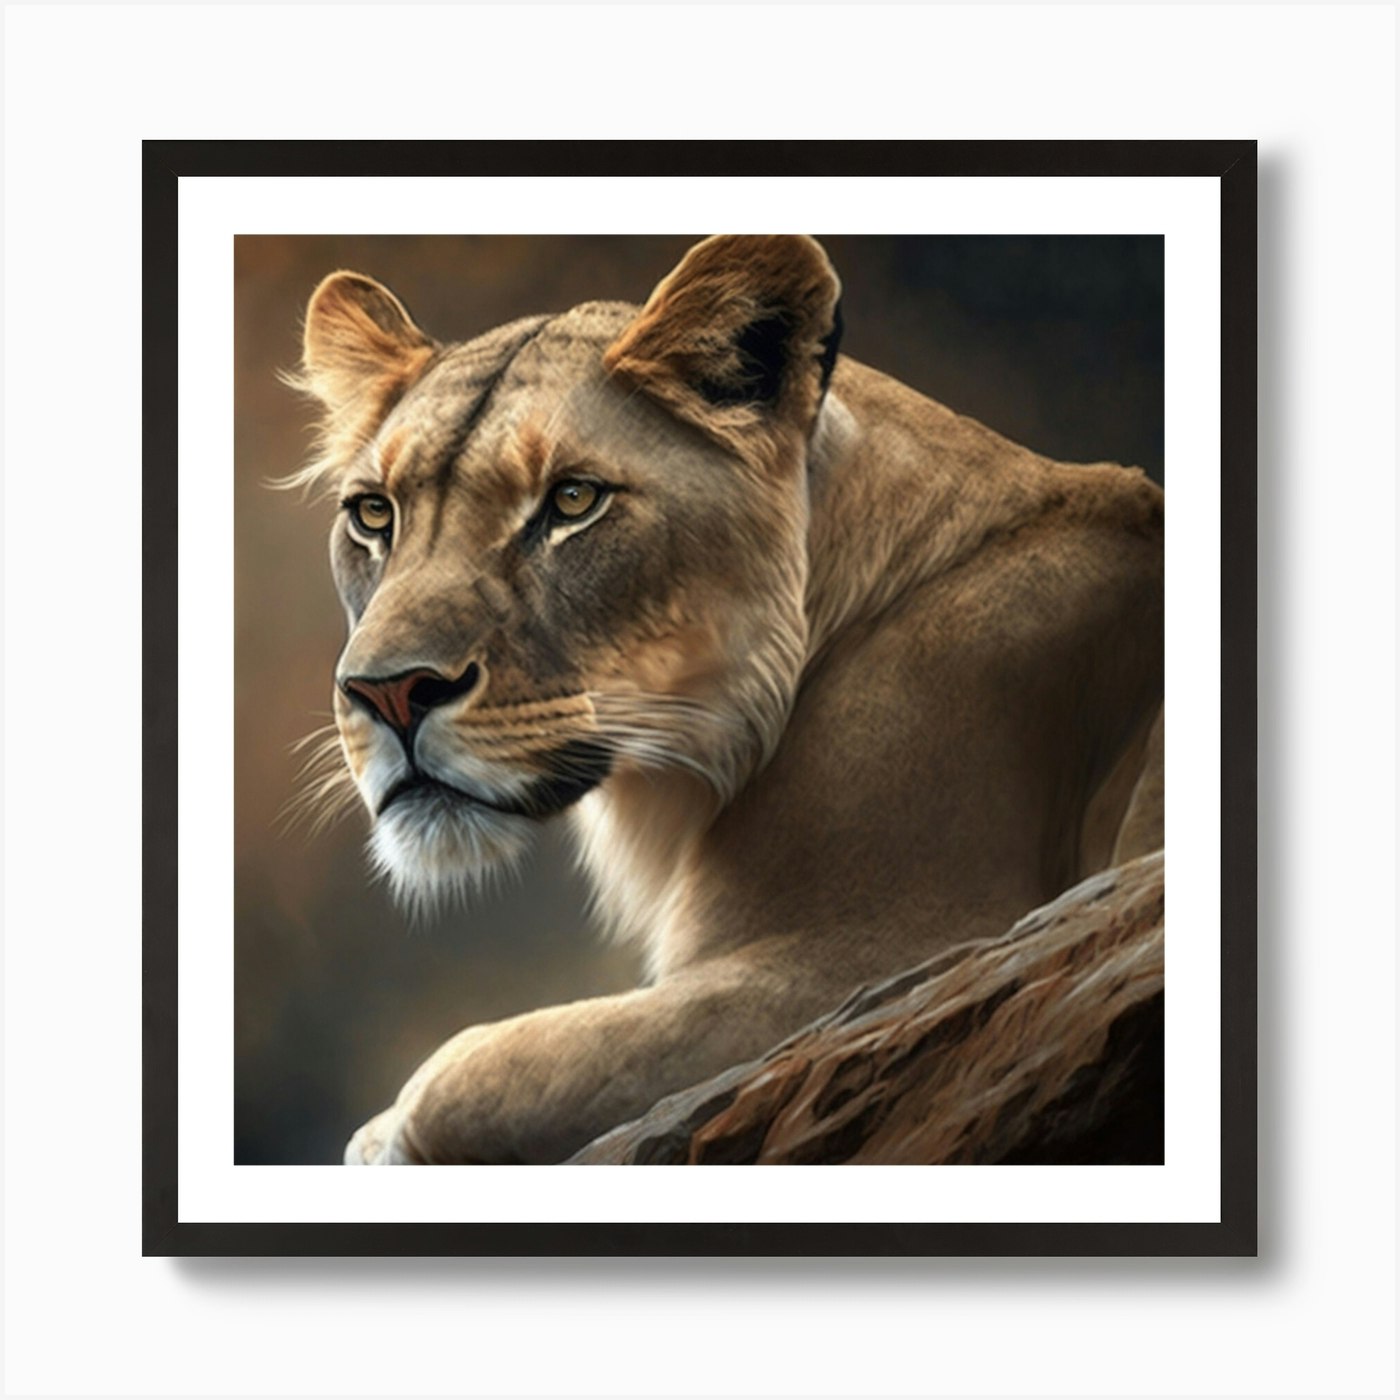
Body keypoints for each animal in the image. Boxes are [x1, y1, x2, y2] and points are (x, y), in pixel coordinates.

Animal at [285, 235, 1164, 1165]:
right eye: (373, 515)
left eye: (573, 500)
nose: (388, 692)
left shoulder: (889, 955)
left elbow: (472, 1068)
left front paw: (381, 1137)